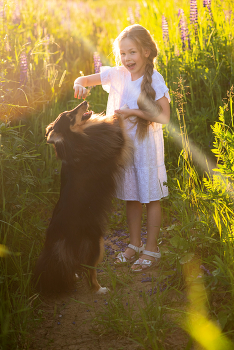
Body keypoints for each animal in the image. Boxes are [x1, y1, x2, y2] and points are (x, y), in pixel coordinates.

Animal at [33, 100, 133, 296]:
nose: (85, 101)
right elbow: (117, 122)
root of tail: (57, 236)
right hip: (95, 242)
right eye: (71, 116)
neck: (75, 140)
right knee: (88, 269)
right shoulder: (115, 142)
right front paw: (122, 109)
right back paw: (99, 289)